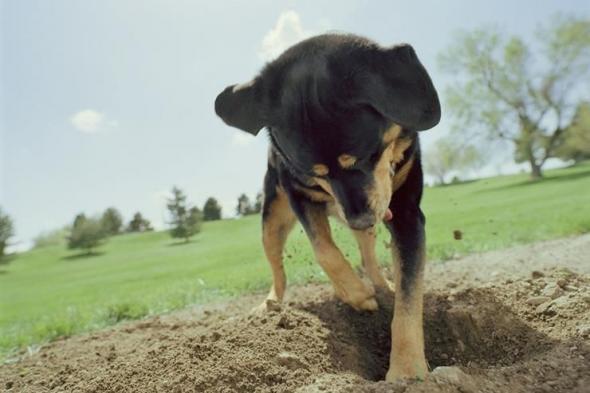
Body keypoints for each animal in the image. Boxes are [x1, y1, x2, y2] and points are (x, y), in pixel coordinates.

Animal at [215, 33, 442, 380]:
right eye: (315, 172)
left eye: (367, 155)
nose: (359, 220)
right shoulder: (298, 193)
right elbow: (324, 250)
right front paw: (357, 295)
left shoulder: (406, 213)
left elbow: (408, 297)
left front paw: (406, 372)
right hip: (272, 219)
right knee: (278, 271)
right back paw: (270, 307)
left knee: (369, 258)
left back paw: (382, 285)